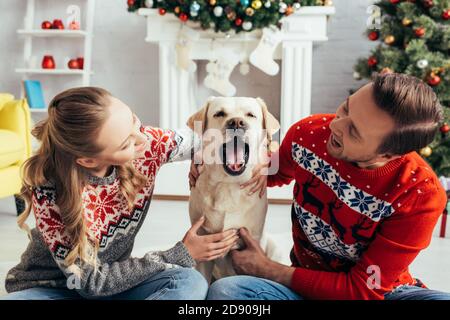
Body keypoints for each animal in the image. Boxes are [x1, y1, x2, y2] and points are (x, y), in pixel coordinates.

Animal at [185, 95, 278, 282]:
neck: (228, 184)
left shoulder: (252, 241)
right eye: (219, 113)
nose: (236, 122)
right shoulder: (202, 242)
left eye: (250, 115)